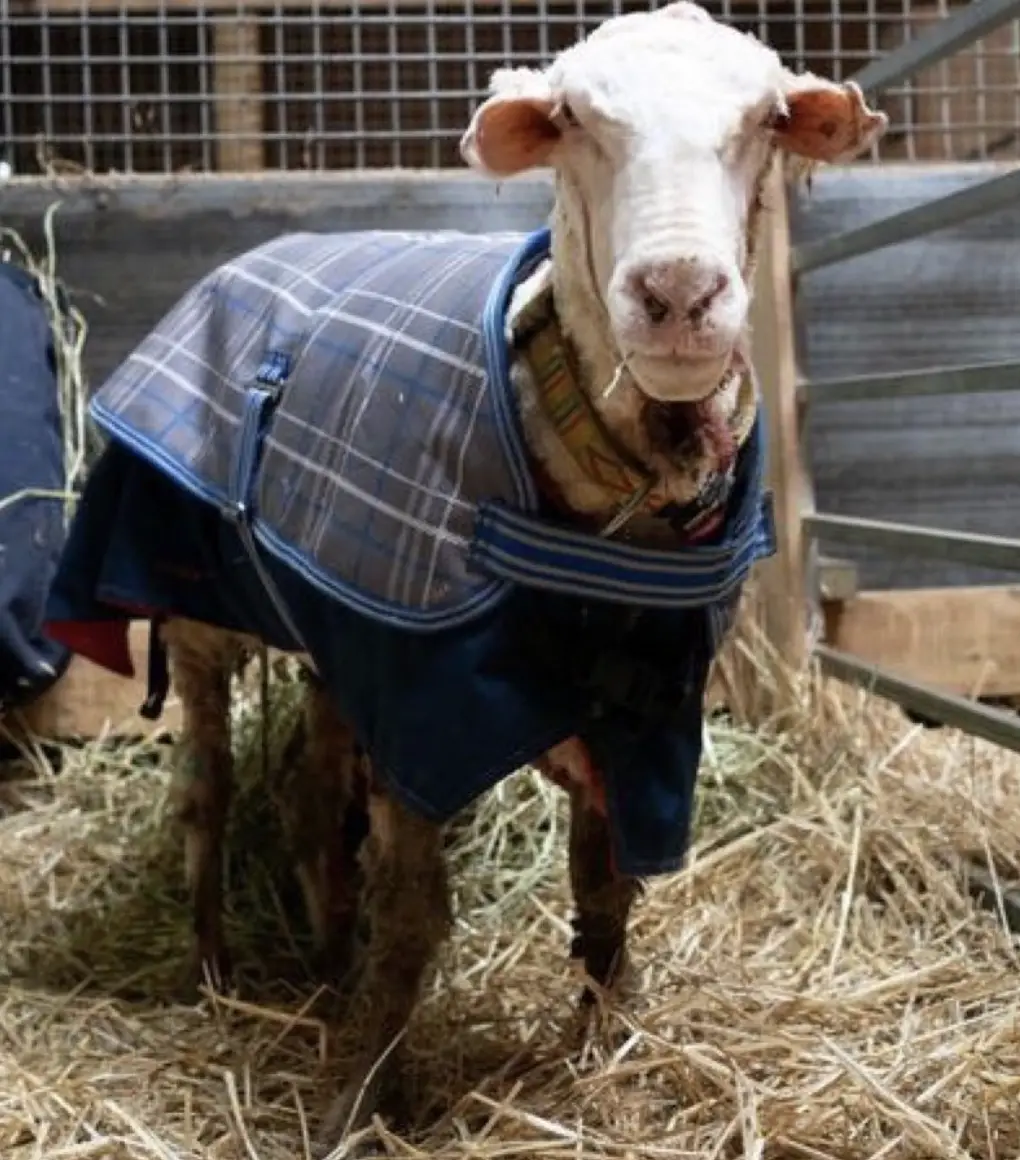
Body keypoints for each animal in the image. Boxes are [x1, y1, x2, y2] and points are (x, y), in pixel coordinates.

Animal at [42, 0, 887, 1145]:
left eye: (765, 119)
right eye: (574, 121)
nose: (676, 293)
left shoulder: (642, 716)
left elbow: (604, 896)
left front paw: (605, 1049)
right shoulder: (422, 708)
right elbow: (414, 918)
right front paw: (361, 1099)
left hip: (334, 649)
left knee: (309, 797)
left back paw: (326, 960)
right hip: (200, 618)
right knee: (206, 789)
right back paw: (215, 966)